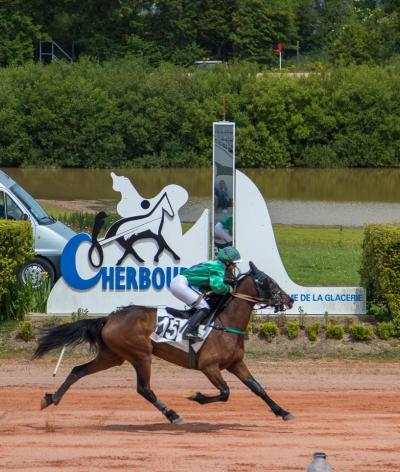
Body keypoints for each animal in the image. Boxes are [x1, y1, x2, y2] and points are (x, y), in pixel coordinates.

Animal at [35, 262, 294, 424]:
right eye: (268, 282)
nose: (290, 300)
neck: (225, 322)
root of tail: (109, 318)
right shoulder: (208, 366)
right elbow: (225, 392)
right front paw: (196, 396)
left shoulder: (235, 363)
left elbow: (257, 388)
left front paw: (283, 411)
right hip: (140, 355)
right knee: (144, 388)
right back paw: (172, 414)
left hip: (112, 356)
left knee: (78, 370)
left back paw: (51, 398)